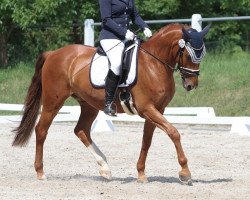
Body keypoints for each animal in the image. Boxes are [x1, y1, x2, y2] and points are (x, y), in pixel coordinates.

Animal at [12, 24, 210, 185]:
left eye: (202, 54)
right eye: (189, 54)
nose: (191, 85)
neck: (154, 64)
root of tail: (53, 53)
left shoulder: (156, 109)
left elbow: (147, 141)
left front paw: (141, 174)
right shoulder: (147, 108)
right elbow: (173, 132)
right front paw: (185, 173)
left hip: (89, 104)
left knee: (81, 130)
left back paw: (105, 169)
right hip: (54, 101)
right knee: (41, 130)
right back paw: (40, 172)